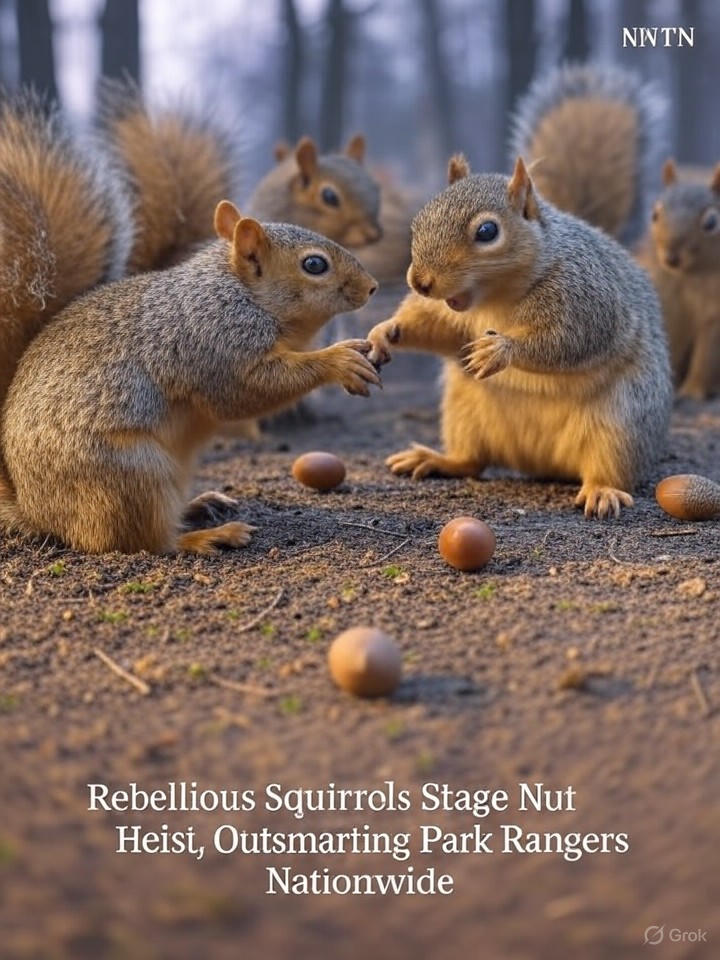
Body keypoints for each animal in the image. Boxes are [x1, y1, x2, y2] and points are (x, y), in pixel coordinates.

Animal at [0, 198, 379, 554]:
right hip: (130, 474)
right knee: (144, 541)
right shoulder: (216, 344)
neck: (240, 293)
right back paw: (206, 537)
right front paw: (339, 359)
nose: (373, 287)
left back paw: (200, 505)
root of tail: (37, 512)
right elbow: (246, 392)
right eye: (314, 264)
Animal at [366, 64, 672, 519]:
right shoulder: (449, 313)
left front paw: (501, 350)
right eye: (419, 220)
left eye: (487, 232)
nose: (419, 282)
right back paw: (436, 459)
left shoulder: (585, 298)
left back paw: (602, 490)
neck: (494, 298)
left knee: (608, 465)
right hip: (464, 410)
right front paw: (385, 332)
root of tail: (544, 464)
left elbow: (568, 341)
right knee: (473, 461)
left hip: (622, 420)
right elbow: (430, 326)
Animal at [636, 159, 720, 399]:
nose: (671, 257)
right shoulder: (667, 301)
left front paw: (695, 390)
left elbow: (708, 353)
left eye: (711, 222)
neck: (689, 276)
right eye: (654, 214)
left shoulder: (715, 315)